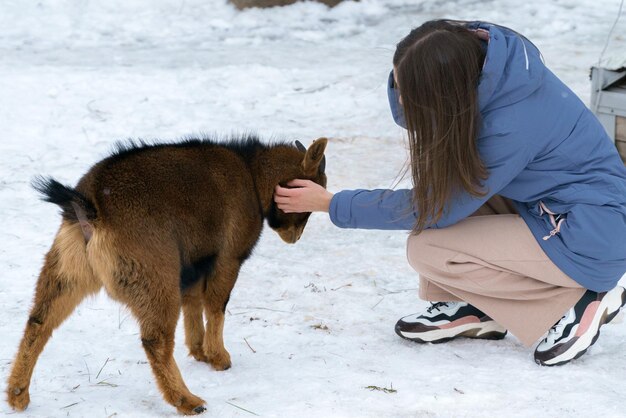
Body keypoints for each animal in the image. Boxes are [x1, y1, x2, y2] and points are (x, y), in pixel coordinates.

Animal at [7, 136, 330, 414]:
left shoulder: (194, 264)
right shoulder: (227, 258)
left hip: (68, 269)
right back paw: (187, 400)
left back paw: (17, 394)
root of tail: (92, 208)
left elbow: (193, 304)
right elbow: (216, 306)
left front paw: (199, 351)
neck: (251, 173)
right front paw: (218, 358)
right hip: (155, 276)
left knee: (39, 321)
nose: (295, 237)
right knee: (155, 340)